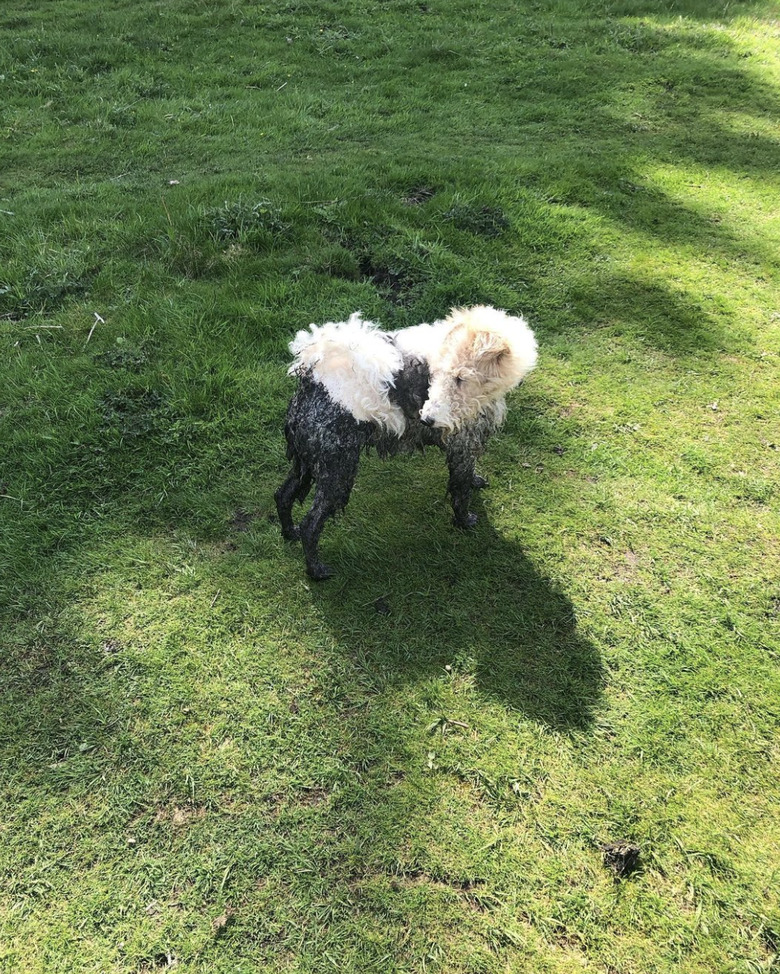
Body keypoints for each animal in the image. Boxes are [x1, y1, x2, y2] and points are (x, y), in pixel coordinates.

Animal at [274, 304, 536, 580]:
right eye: (436, 375)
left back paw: (289, 532)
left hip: (307, 463)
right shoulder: (462, 444)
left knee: (282, 495)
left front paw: (475, 483)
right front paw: (465, 521)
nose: (427, 420)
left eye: (460, 378)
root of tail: (311, 378)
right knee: (311, 523)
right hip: (337, 470)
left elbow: (468, 477)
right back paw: (316, 570)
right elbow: (460, 490)